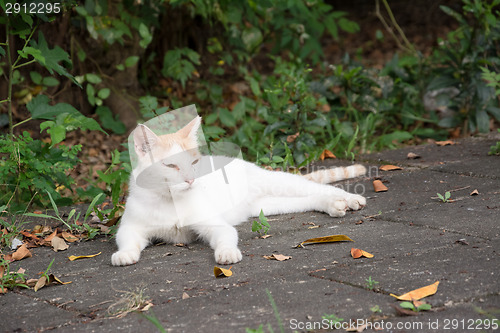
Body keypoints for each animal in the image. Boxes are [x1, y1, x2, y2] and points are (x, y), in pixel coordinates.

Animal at [111, 115, 366, 266]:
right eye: (171, 165)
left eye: (194, 163)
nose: (192, 179)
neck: (170, 200)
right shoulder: (130, 228)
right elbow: (126, 240)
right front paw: (124, 255)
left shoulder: (215, 225)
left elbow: (226, 237)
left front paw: (227, 253)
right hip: (266, 206)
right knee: (309, 198)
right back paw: (334, 205)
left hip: (277, 182)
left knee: (316, 186)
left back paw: (351, 198)